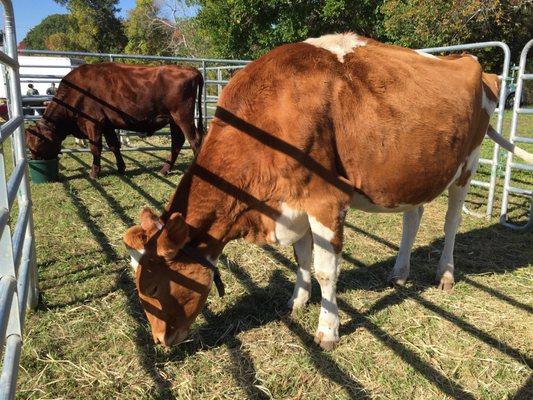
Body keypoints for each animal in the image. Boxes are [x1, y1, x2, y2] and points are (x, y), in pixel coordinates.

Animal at [25, 62, 205, 178]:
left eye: (39, 142)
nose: (35, 160)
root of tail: (189, 69)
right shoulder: (107, 125)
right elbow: (113, 145)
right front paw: (121, 167)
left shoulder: (93, 123)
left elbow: (95, 148)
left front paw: (94, 173)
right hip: (173, 120)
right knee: (177, 142)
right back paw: (164, 170)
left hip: (183, 117)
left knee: (194, 140)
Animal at [121, 32, 532, 348]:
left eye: (153, 287)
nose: (160, 341)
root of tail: (470, 61)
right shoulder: (292, 204)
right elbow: (302, 261)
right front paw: (296, 302)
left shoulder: (325, 201)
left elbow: (324, 271)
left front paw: (328, 330)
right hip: (414, 171)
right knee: (413, 217)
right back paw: (399, 272)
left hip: (468, 165)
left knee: (451, 223)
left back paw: (445, 274)